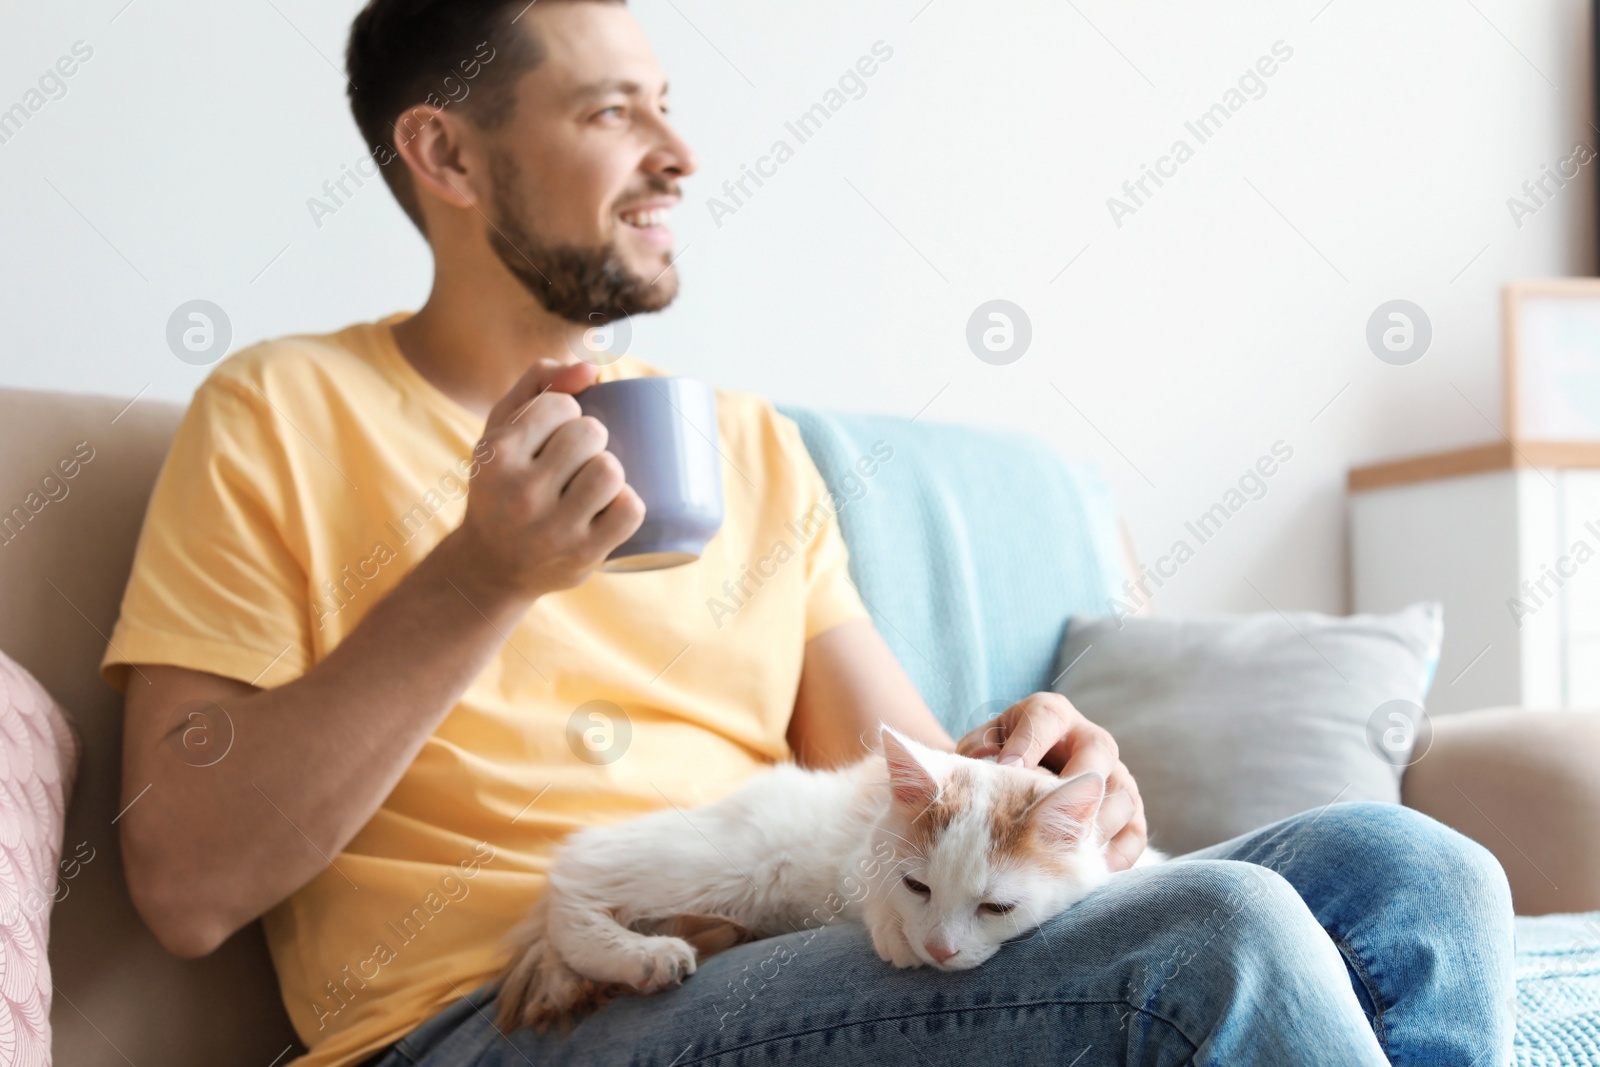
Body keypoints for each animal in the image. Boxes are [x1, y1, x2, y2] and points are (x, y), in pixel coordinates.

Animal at [496, 723, 1164, 1030]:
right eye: (918, 887)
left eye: (996, 909)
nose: (939, 950)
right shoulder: (855, 854)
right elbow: (871, 890)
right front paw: (897, 935)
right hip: (726, 864)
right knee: (574, 880)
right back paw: (644, 955)